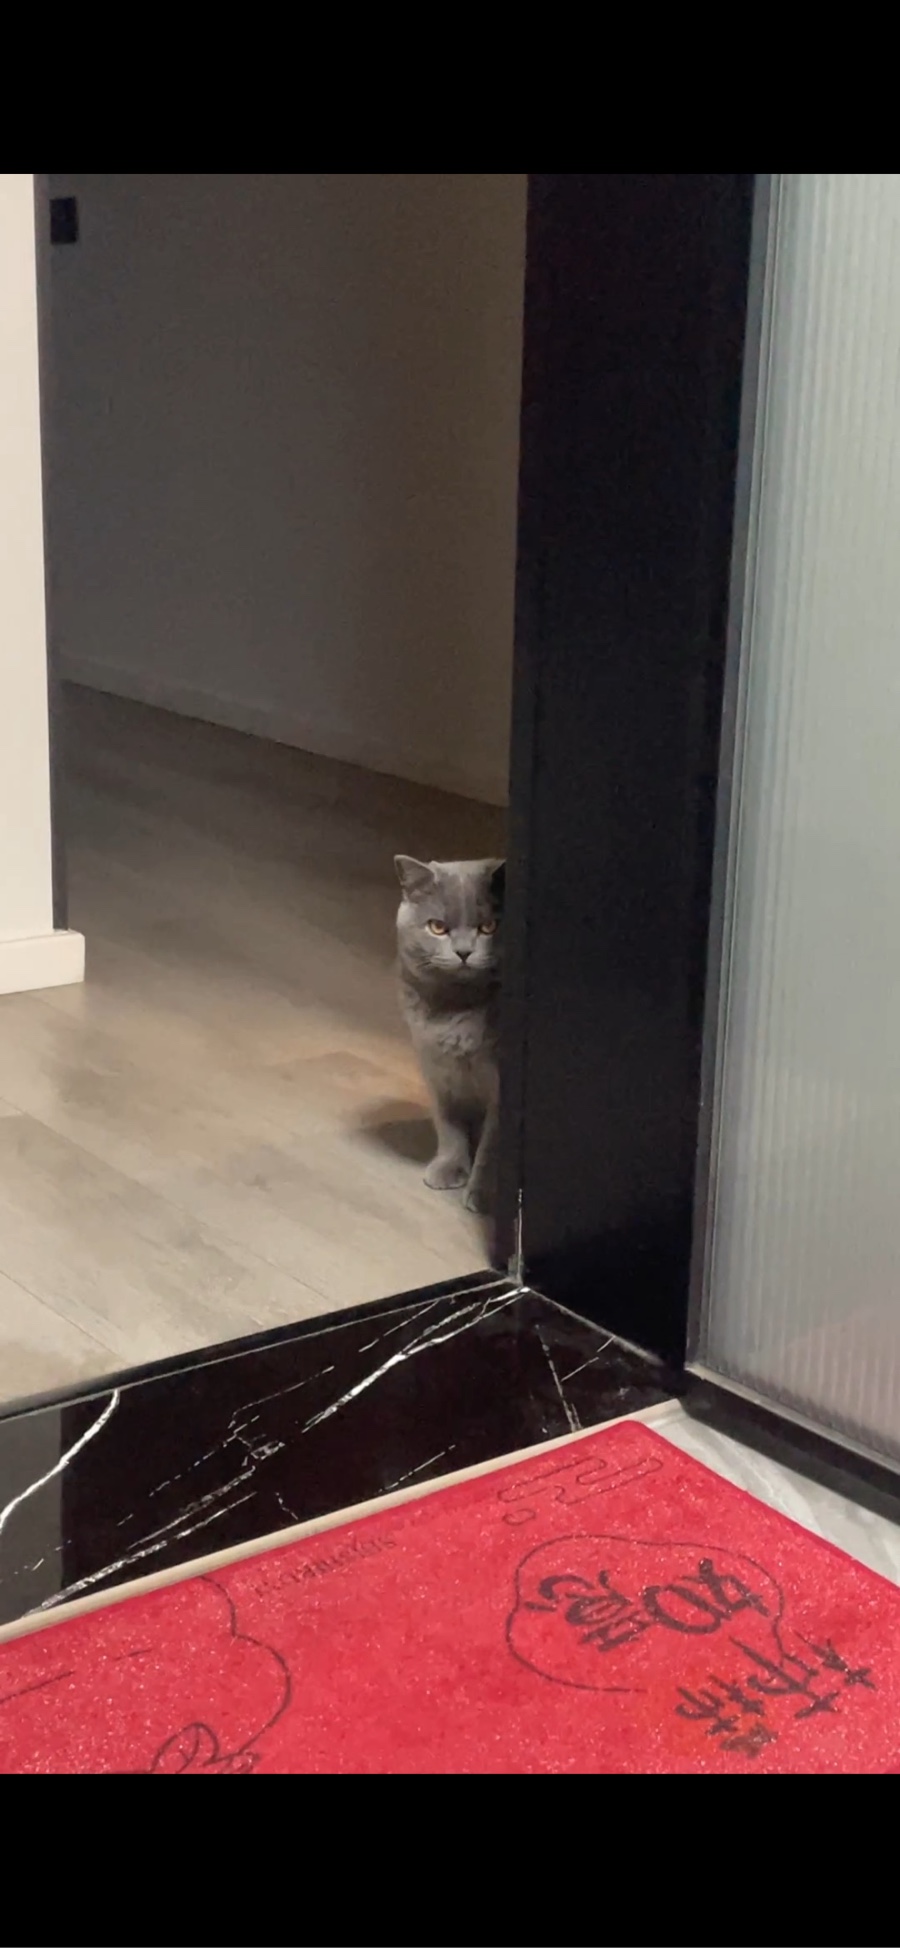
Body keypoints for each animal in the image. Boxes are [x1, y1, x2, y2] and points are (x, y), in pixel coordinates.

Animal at [394, 855, 505, 1215]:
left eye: (489, 927)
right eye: (438, 927)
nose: (464, 952)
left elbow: (493, 1144)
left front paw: (483, 1194)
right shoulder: (435, 1069)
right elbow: (448, 1124)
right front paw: (449, 1169)